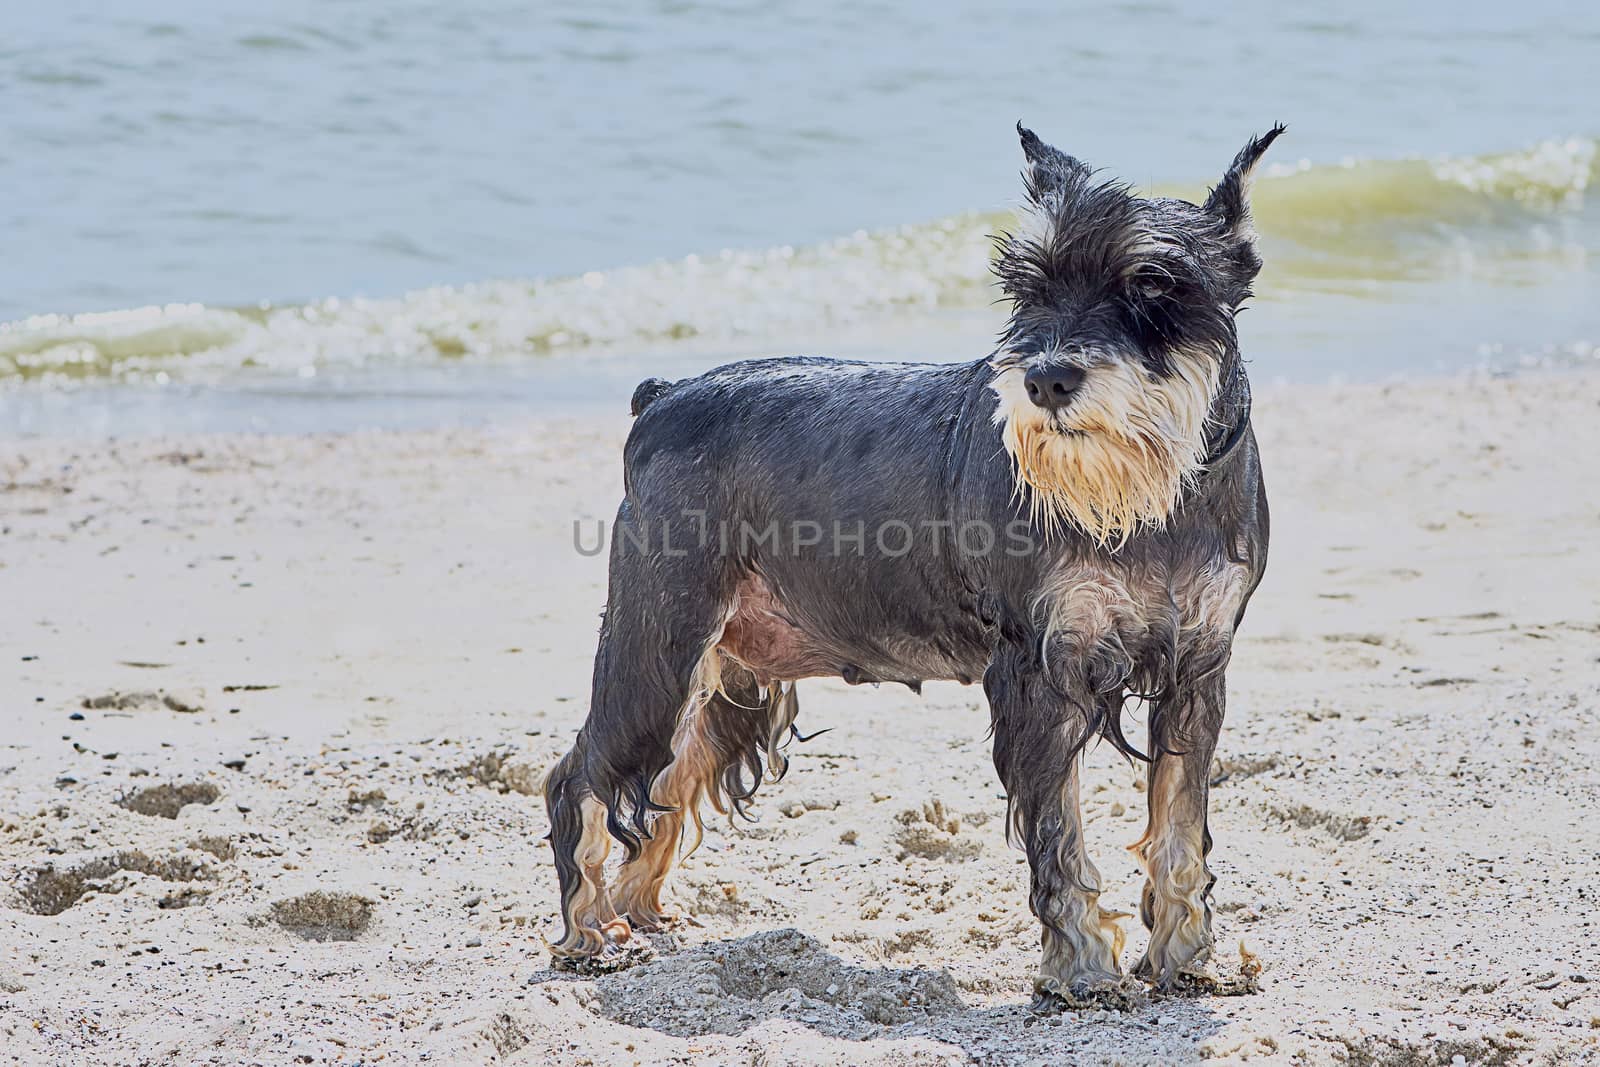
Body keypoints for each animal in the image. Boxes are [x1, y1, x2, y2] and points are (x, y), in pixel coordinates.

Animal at [544, 120, 1280, 1004]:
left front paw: (1188, 957)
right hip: (657, 651)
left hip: (728, 676)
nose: (1045, 378)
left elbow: (1179, 827)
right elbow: (1060, 836)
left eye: (1154, 288)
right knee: (582, 774)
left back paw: (633, 909)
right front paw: (1082, 968)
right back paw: (588, 930)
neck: (1152, 502)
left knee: (664, 779)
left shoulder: (1197, 674)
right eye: (1028, 288)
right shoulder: (1040, 673)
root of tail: (661, 397)